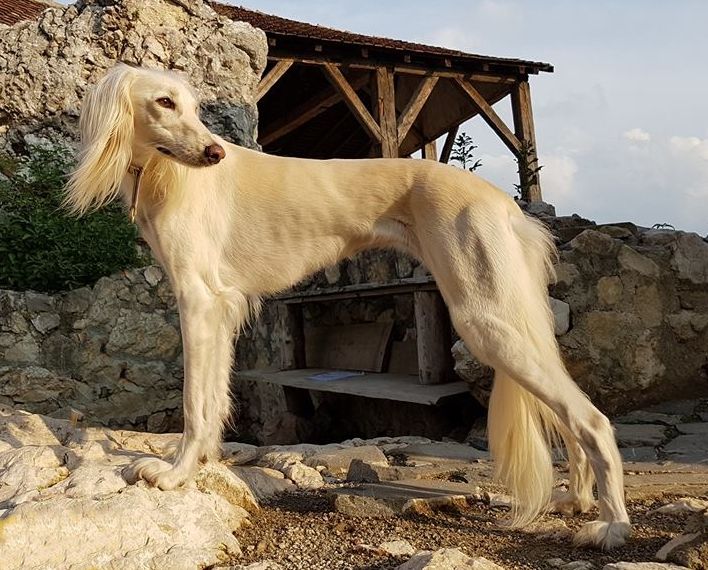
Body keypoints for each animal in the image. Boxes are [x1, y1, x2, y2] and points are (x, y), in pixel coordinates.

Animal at [65, 64, 630, 549]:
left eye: (190, 105)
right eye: (165, 102)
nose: (213, 152)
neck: (165, 173)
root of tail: (503, 202)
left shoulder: (200, 300)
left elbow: (194, 402)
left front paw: (176, 473)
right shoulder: (221, 309)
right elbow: (215, 398)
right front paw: (200, 465)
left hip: (485, 320)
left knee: (591, 419)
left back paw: (613, 525)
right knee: (569, 415)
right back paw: (579, 500)